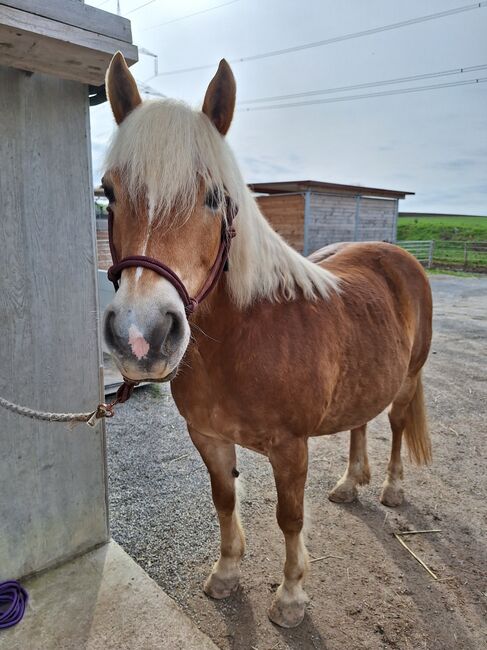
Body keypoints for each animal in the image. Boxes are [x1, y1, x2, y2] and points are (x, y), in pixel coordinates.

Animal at [101, 53, 432, 624]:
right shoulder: (209, 437)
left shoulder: (290, 448)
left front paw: (292, 596)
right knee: (361, 422)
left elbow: (289, 518)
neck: (242, 342)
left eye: (215, 197)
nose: (140, 337)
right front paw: (226, 574)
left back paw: (391, 489)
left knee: (394, 422)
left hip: (409, 378)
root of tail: (398, 257)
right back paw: (350, 484)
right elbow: (224, 501)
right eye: (108, 192)